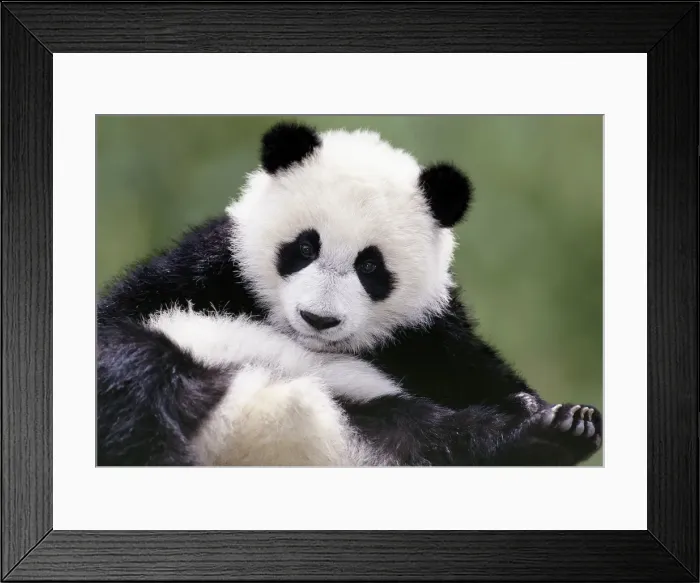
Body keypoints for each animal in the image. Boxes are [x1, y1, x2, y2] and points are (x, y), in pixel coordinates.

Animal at [97, 122, 602, 467]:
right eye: (305, 247)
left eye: (370, 267)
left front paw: (543, 412)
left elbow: (471, 373)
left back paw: (554, 430)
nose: (318, 320)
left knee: (441, 437)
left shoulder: (427, 335)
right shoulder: (207, 265)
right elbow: (119, 324)